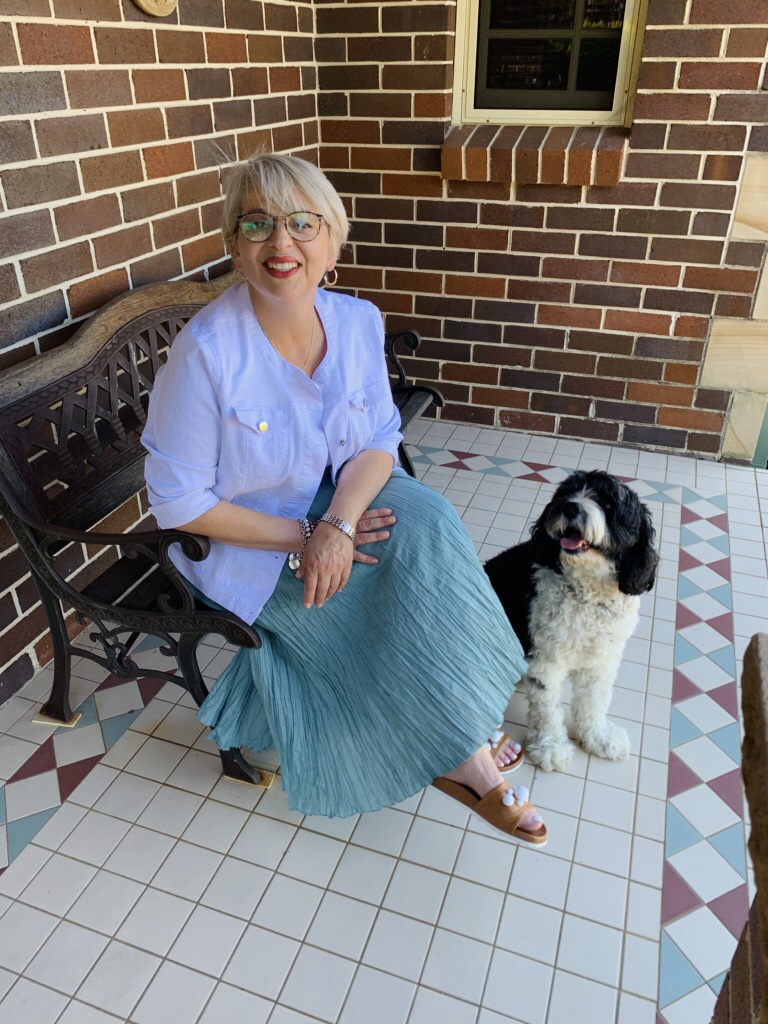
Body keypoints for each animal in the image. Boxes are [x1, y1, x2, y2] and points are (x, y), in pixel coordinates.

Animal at [489, 475, 659, 770]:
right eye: (566, 493)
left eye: (607, 502)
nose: (570, 507)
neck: (587, 596)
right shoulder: (547, 659)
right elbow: (547, 708)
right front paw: (550, 747)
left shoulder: (602, 657)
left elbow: (595, 699)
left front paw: (598, 736)